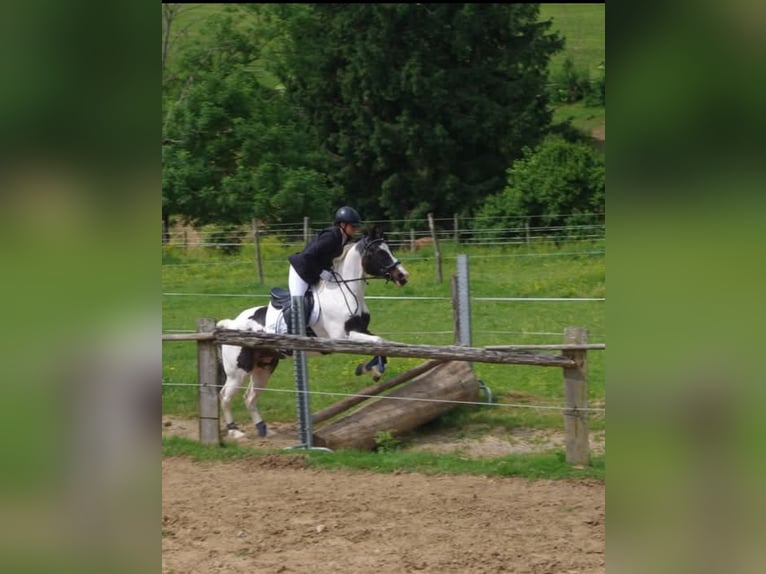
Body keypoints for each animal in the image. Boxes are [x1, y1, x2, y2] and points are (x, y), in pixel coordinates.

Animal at [216, 228, 410, 439]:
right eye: (379, 253)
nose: (403, 276)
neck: (345, 292)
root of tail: (230, 323)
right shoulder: (341, 337)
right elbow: (378, 341)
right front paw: (372, 369)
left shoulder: (360, 330)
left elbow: (380, 341)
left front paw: (371, 369)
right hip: (238, 371)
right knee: (225, 396)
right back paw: (235, 431)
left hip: (264, 367)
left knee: (249, 397)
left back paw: (263, 429)